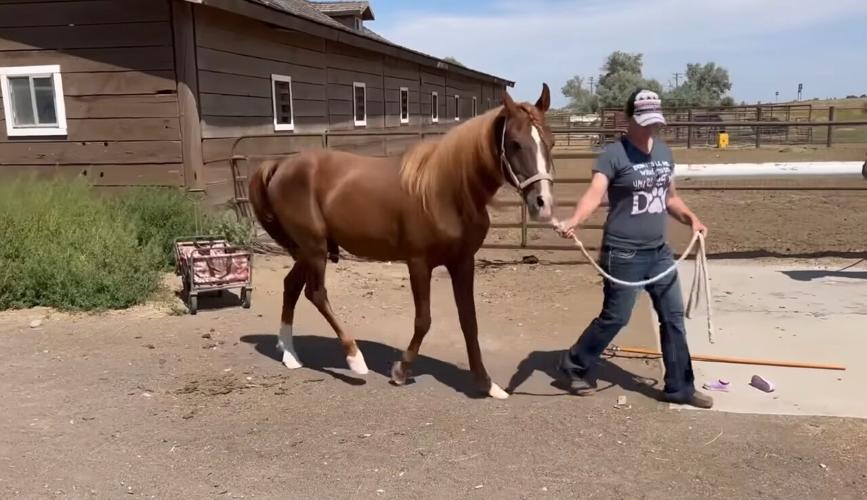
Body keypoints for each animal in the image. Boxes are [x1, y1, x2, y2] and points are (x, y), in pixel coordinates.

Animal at [248, 83, 556, 399]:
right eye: (515, 143)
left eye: (551, 142)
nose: (542, 203)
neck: (445, 191)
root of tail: (280, 165)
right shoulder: (419, 263)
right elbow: (424, 320)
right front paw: (401, 371)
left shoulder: (462, 262)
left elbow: (469, 321)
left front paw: (487, 383)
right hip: (315, 249)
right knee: (316, 293)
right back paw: (354, 359)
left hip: (306, 251)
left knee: (291, 287)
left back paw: (289, 354)